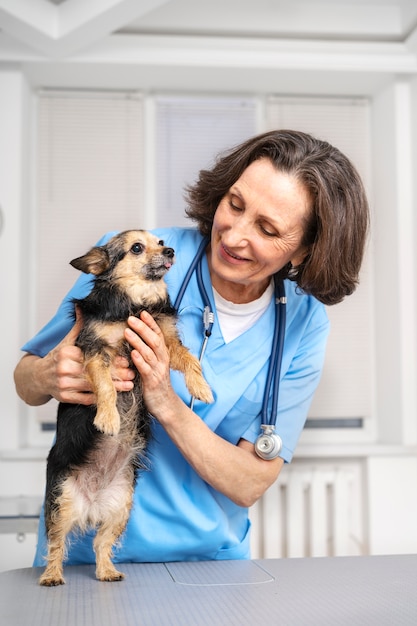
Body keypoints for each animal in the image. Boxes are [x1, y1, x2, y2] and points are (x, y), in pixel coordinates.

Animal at [39, 230, 211, 584]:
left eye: (160, 242)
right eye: (136, 248)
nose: (171, 250)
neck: (136, 302)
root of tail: (91, 505)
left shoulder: (164, 341)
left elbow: (189, 359)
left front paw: (201, 387)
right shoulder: (96, 350)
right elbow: (105, 385)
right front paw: (108, 418)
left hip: (121, 506)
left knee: (101, 544)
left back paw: (107, 572)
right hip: (61, 501)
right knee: (56, 543)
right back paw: (51, 575)